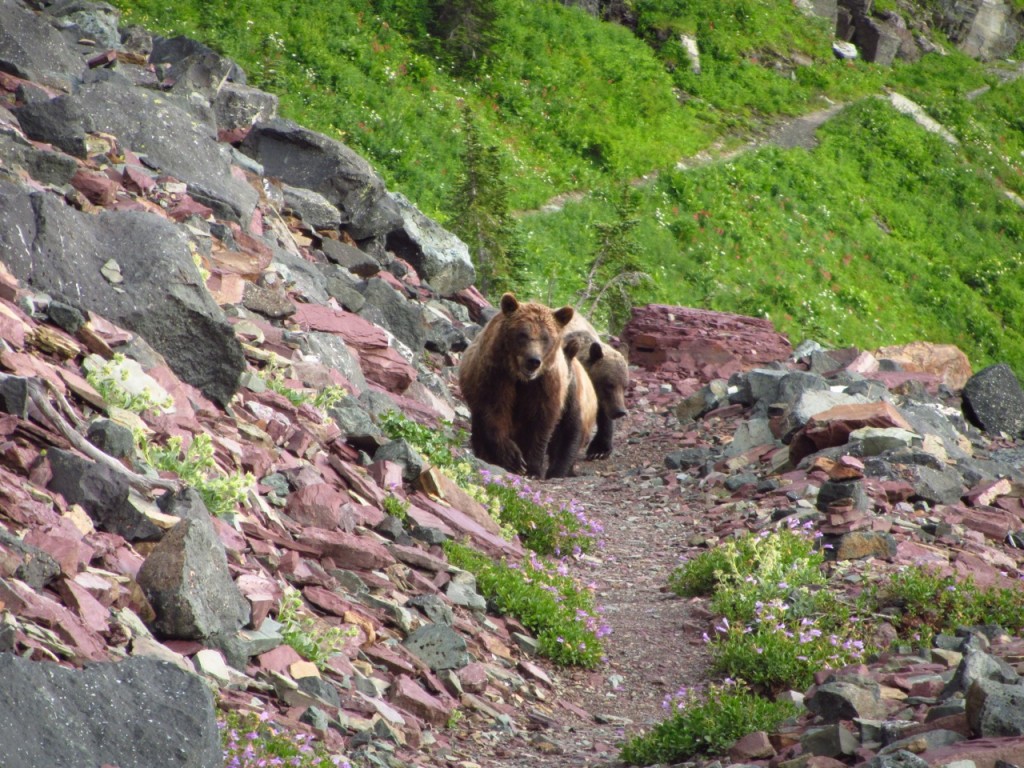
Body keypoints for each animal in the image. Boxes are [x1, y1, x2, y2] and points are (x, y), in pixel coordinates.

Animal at [462, 292, 581, 479]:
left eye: (546, 337)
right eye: (522, 334)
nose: (533, 361)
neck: (522, 378)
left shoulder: (545, 385)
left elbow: (541, 423)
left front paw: (532, 468)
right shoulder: (496, 375)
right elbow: (496, 410)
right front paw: (513, 457)